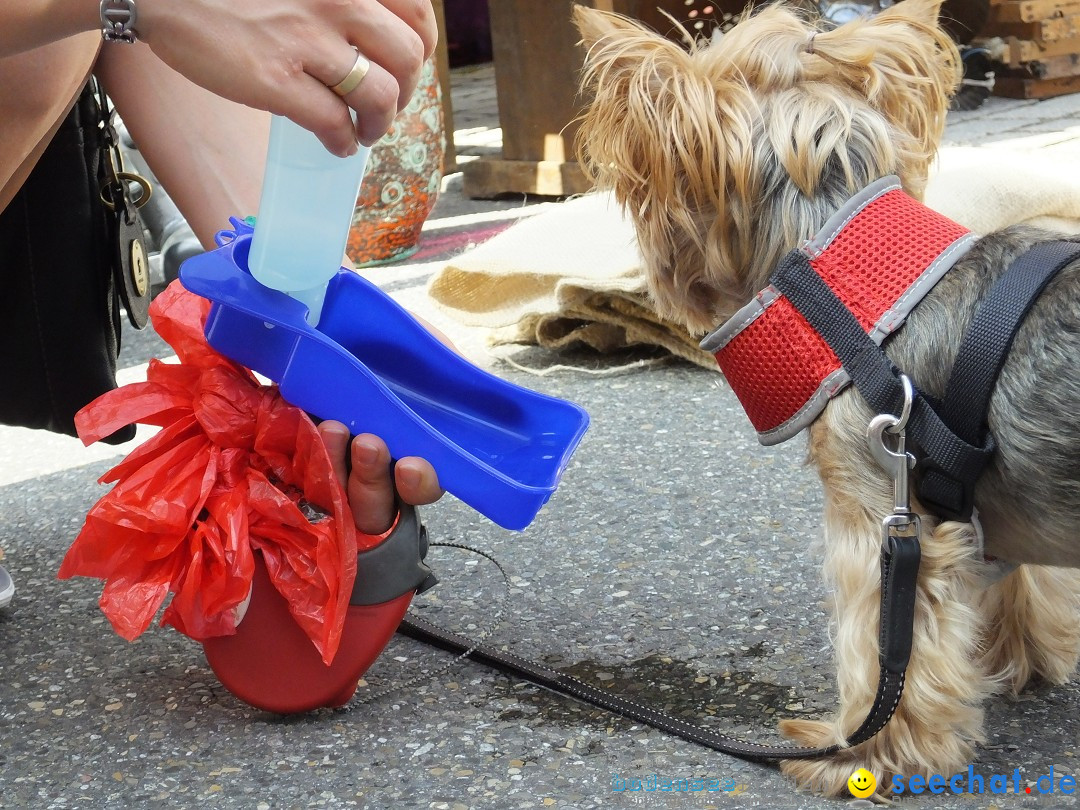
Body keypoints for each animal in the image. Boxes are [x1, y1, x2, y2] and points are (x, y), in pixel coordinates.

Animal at [574, 0, 1080, 799]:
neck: (846, 303)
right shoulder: (990, 510)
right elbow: (1017, 585)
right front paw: (1014, 663)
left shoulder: (882, 514)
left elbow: (885, 649)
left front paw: (857, 753)